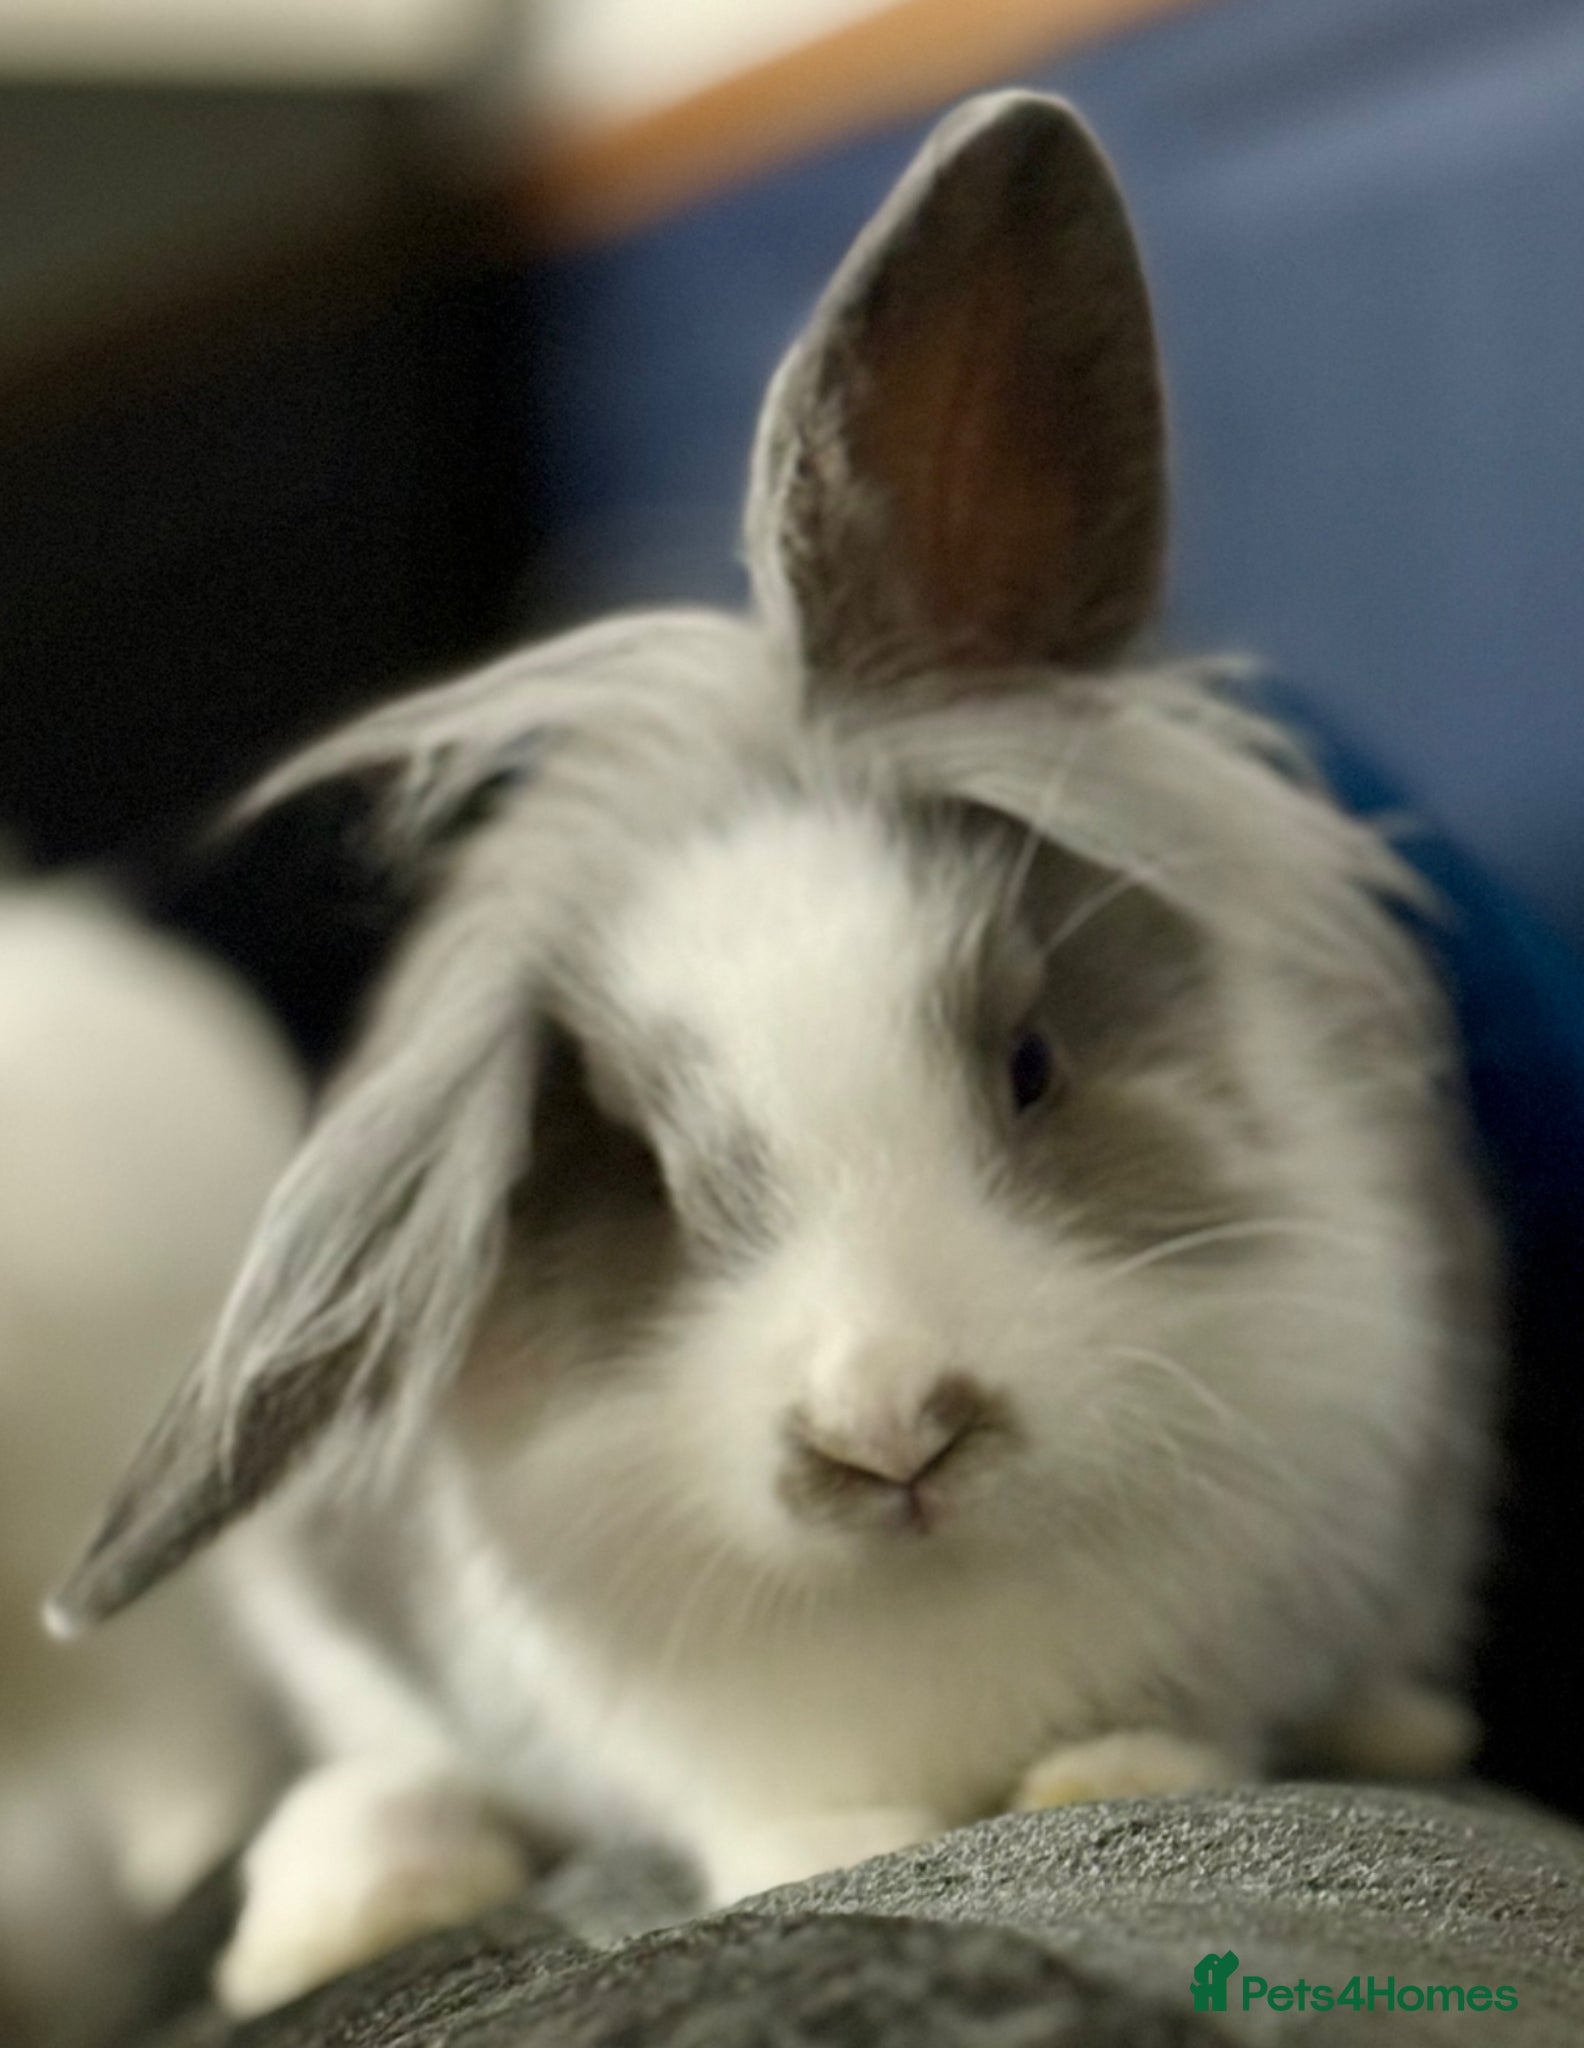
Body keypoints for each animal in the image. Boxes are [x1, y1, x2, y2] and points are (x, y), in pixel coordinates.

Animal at [47, 93, 1499, 2019]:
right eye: (641, 1176)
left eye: (1030, 1062)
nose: (890, 1429)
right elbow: (785, 1823)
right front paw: (835, 1848)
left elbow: (1177, 1738)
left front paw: (1107, 1775)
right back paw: (343, 1905)